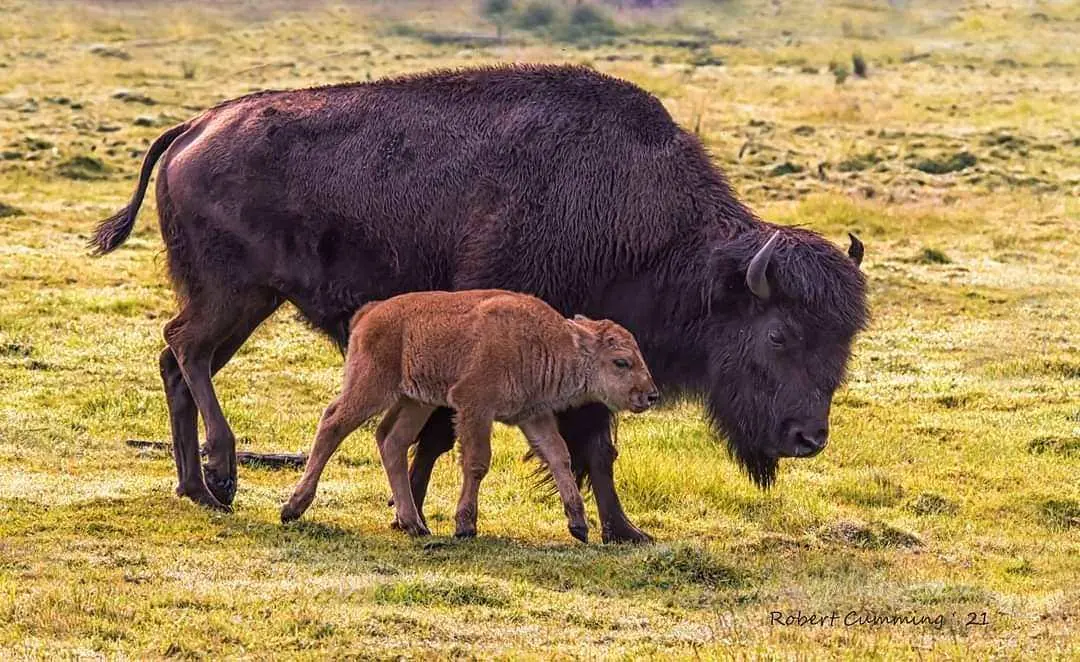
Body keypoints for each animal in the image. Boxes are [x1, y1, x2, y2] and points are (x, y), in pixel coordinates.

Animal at [91, 64, 867, 543]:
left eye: (844, 339)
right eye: (778, 335)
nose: (809, 437)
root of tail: (195, 126)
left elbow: (583, 447)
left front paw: (622, 531)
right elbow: (529, 440)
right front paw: (426, 511)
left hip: (244, 302)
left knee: (175, 361)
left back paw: (194, 489)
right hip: (233, 294)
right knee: (186, 351)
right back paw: (222, 474)